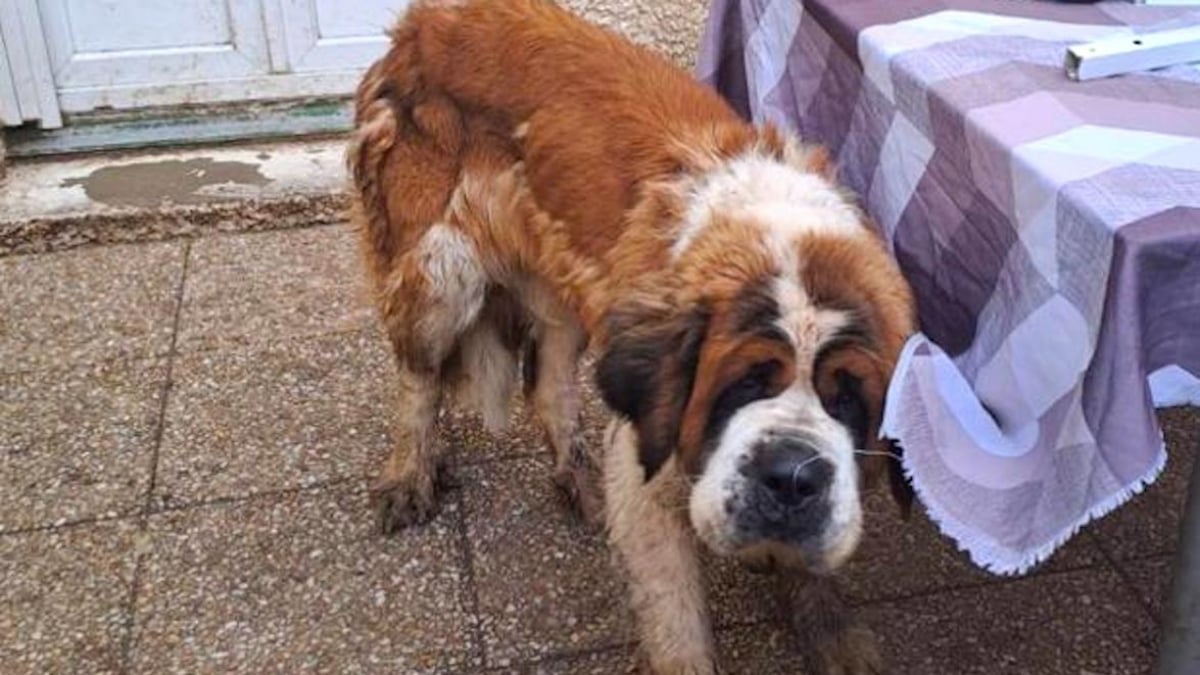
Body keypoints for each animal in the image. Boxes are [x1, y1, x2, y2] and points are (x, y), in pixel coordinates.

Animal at [350, 2, 916, 667]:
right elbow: (677, 627)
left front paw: (829, 629)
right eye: (744, 382)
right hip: (442, 271)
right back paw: (410, 474)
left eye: (850, 398)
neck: (773, 234)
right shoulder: (651, 466)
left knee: (548, 387)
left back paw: (583, 483)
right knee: (419, 380)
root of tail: (420, 23)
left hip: (563, 288)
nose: (791, 475)